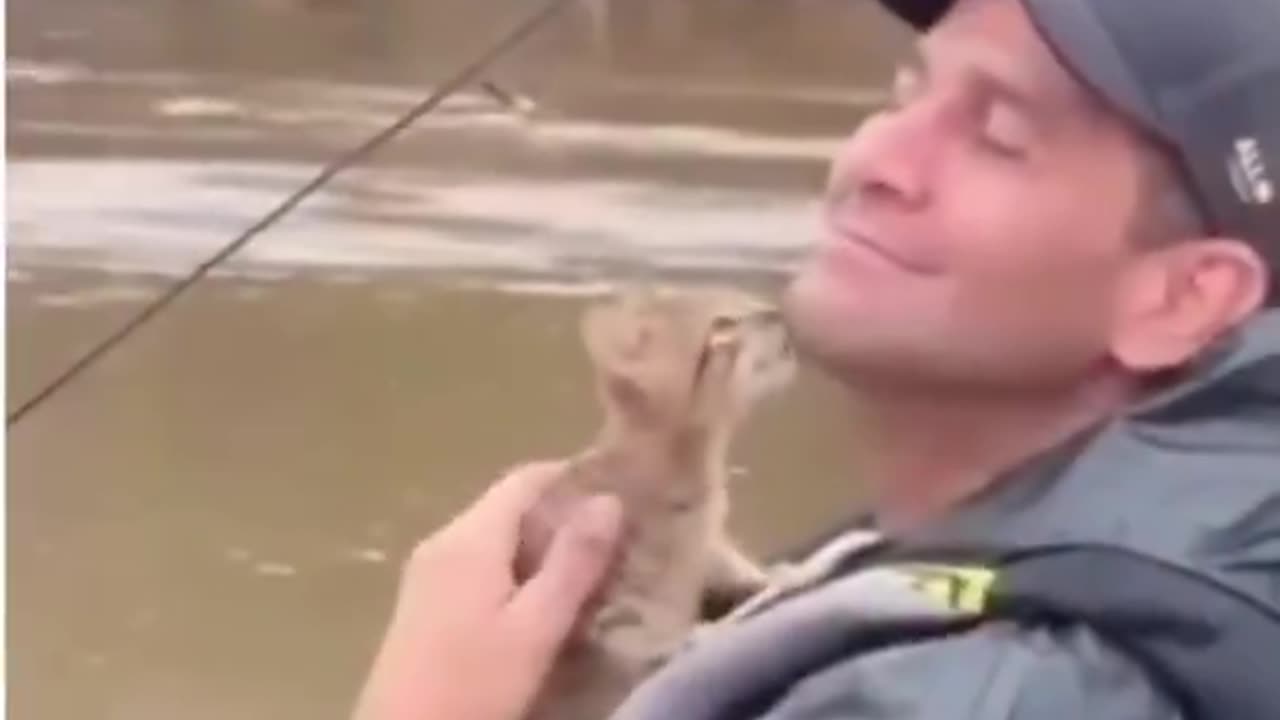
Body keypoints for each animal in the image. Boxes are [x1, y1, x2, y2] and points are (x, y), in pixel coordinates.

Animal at [514, 283, 793, 712]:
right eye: (722, 326)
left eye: (742, 295)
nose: (782, 312)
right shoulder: (615, 608)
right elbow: (651, 638)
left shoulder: (708, 549)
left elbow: (736, 570)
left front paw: (778, 575)